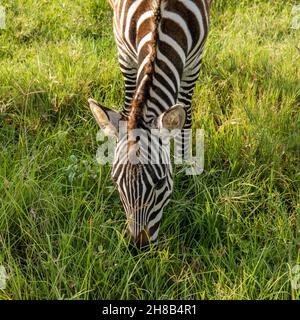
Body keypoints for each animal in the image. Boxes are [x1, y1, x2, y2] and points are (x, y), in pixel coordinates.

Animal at [88, 0, 211, 246]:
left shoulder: (194, 62)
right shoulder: (123, 49)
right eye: (116, 182)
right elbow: (128, 104)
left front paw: (186, 164)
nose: (138, 246)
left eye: (160, 183)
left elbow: (185, 114)